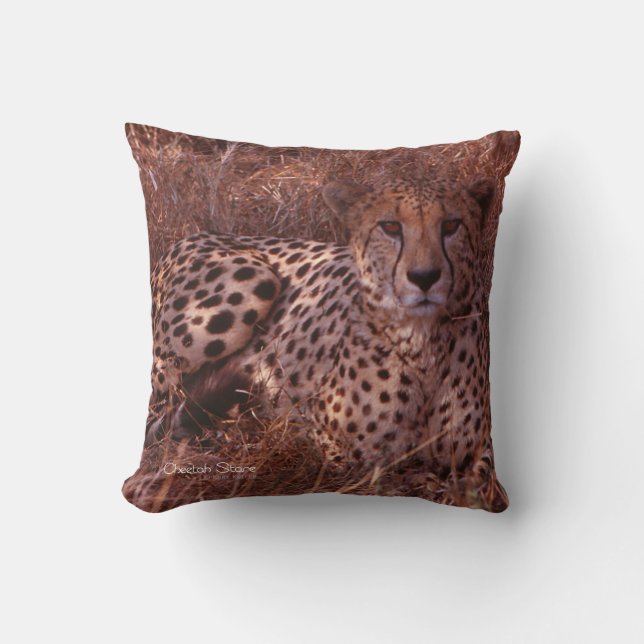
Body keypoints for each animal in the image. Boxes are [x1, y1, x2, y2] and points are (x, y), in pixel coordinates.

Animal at [146, 174, 508, 511]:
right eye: (390, 226)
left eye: (451, 225)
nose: (424, 277)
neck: (422, 344)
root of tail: (192, 236)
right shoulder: (328, 439)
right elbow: (389, 473)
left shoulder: (478, 456)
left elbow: (472, 482)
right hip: (251, 282)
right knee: (159, 416)